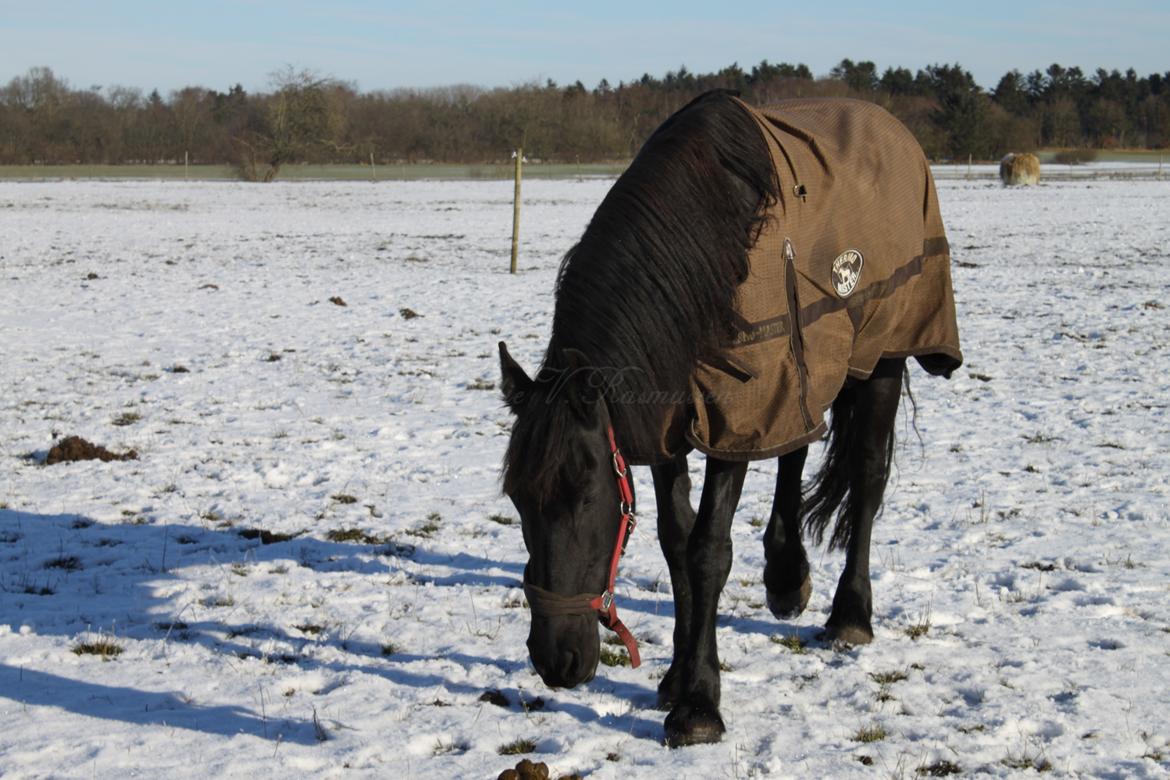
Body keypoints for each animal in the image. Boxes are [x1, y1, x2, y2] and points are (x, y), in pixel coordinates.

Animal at [496, 91, 959, 748]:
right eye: (516, 499)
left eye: (584, 498)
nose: (554, 661)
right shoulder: (670, 423)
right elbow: (675, 541)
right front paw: (675, 678)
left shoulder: (734, 422)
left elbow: (708, 550)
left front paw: (697, 705)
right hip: (802, 364)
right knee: (797, 447)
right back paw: (787, 577)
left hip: (883, 356)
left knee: (867, 479)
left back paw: (850, 616)